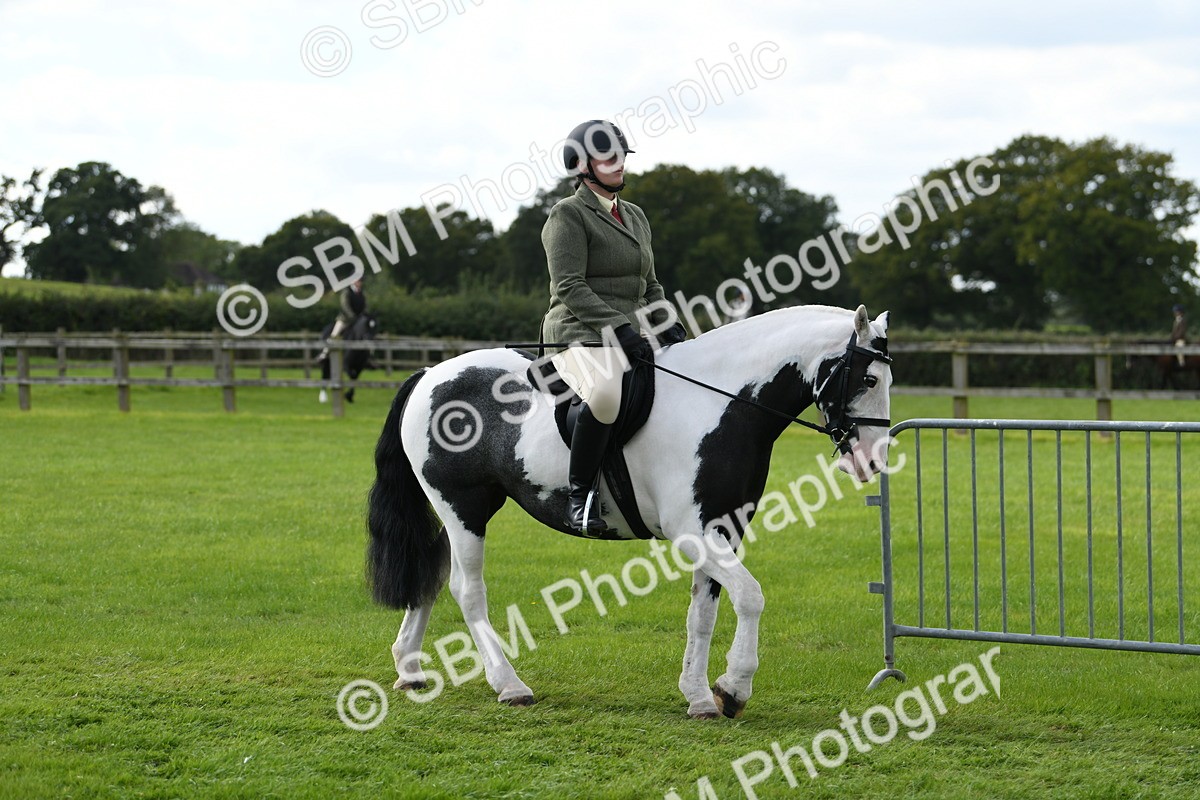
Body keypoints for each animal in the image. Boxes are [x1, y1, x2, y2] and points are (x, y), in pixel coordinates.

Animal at [366, 304, 893, 719]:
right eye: (868, 378)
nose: (872, 460)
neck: (719, 405)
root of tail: (431, 374)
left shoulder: (722, 529)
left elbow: (703, 612)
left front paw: (698, 695)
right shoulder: (693, 531)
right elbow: (750, 597)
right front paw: (733, 689)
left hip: (457, 510)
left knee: (432, 574)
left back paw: (409, 667)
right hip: (463, 507)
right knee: (467, 590)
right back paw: (509, 684)